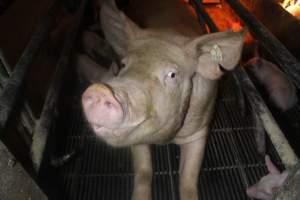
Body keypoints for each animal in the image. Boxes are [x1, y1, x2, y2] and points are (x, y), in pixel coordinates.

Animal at [81, 0, 245, 199]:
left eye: (172, 74)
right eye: (123, 65)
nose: (100, 91)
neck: (166, 139)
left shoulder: (200, 130)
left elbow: (188, 179)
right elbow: (144, 172)